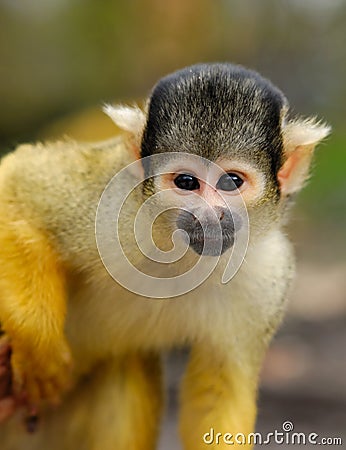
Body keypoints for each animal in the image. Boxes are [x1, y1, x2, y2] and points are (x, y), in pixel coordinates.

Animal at [0, 62, 330, 446]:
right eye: (186, 182)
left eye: (232, 181)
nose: (209, 217)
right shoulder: (113, 200)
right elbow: (17, 185)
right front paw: (41, 353)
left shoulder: (268, 276)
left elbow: (218, 394)